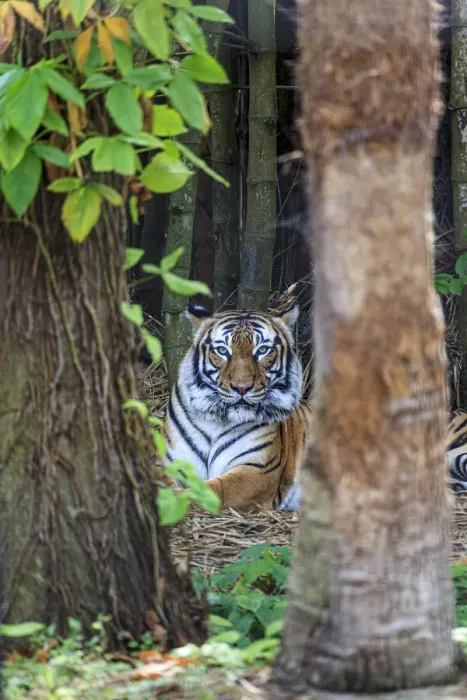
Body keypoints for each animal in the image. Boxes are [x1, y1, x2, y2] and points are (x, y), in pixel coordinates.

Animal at [161, 303, 313, 512]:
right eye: (222, 351)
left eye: (263, 350)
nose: (242, 387)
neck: (215, 421)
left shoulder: (256, 470)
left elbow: (211, 490)